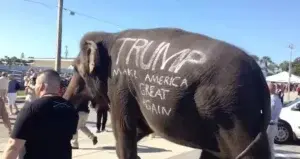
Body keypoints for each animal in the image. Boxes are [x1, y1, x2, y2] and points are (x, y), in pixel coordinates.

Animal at [63, 28, 272, 158]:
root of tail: (261, 78)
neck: (110, 36)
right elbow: (141, 128)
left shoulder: (119, 83)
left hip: (232, 113)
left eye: (75, 69)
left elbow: (124, 130)